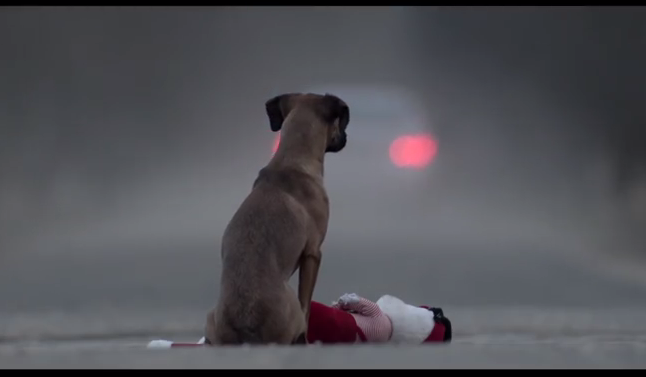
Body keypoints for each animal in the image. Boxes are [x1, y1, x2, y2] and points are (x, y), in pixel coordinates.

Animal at [206, 92, 350, 344]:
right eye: (338, 123)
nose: (346, 138)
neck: (291, 160)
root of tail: (247, 327)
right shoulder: (313, 253)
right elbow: (307, 304)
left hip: (209, 316)